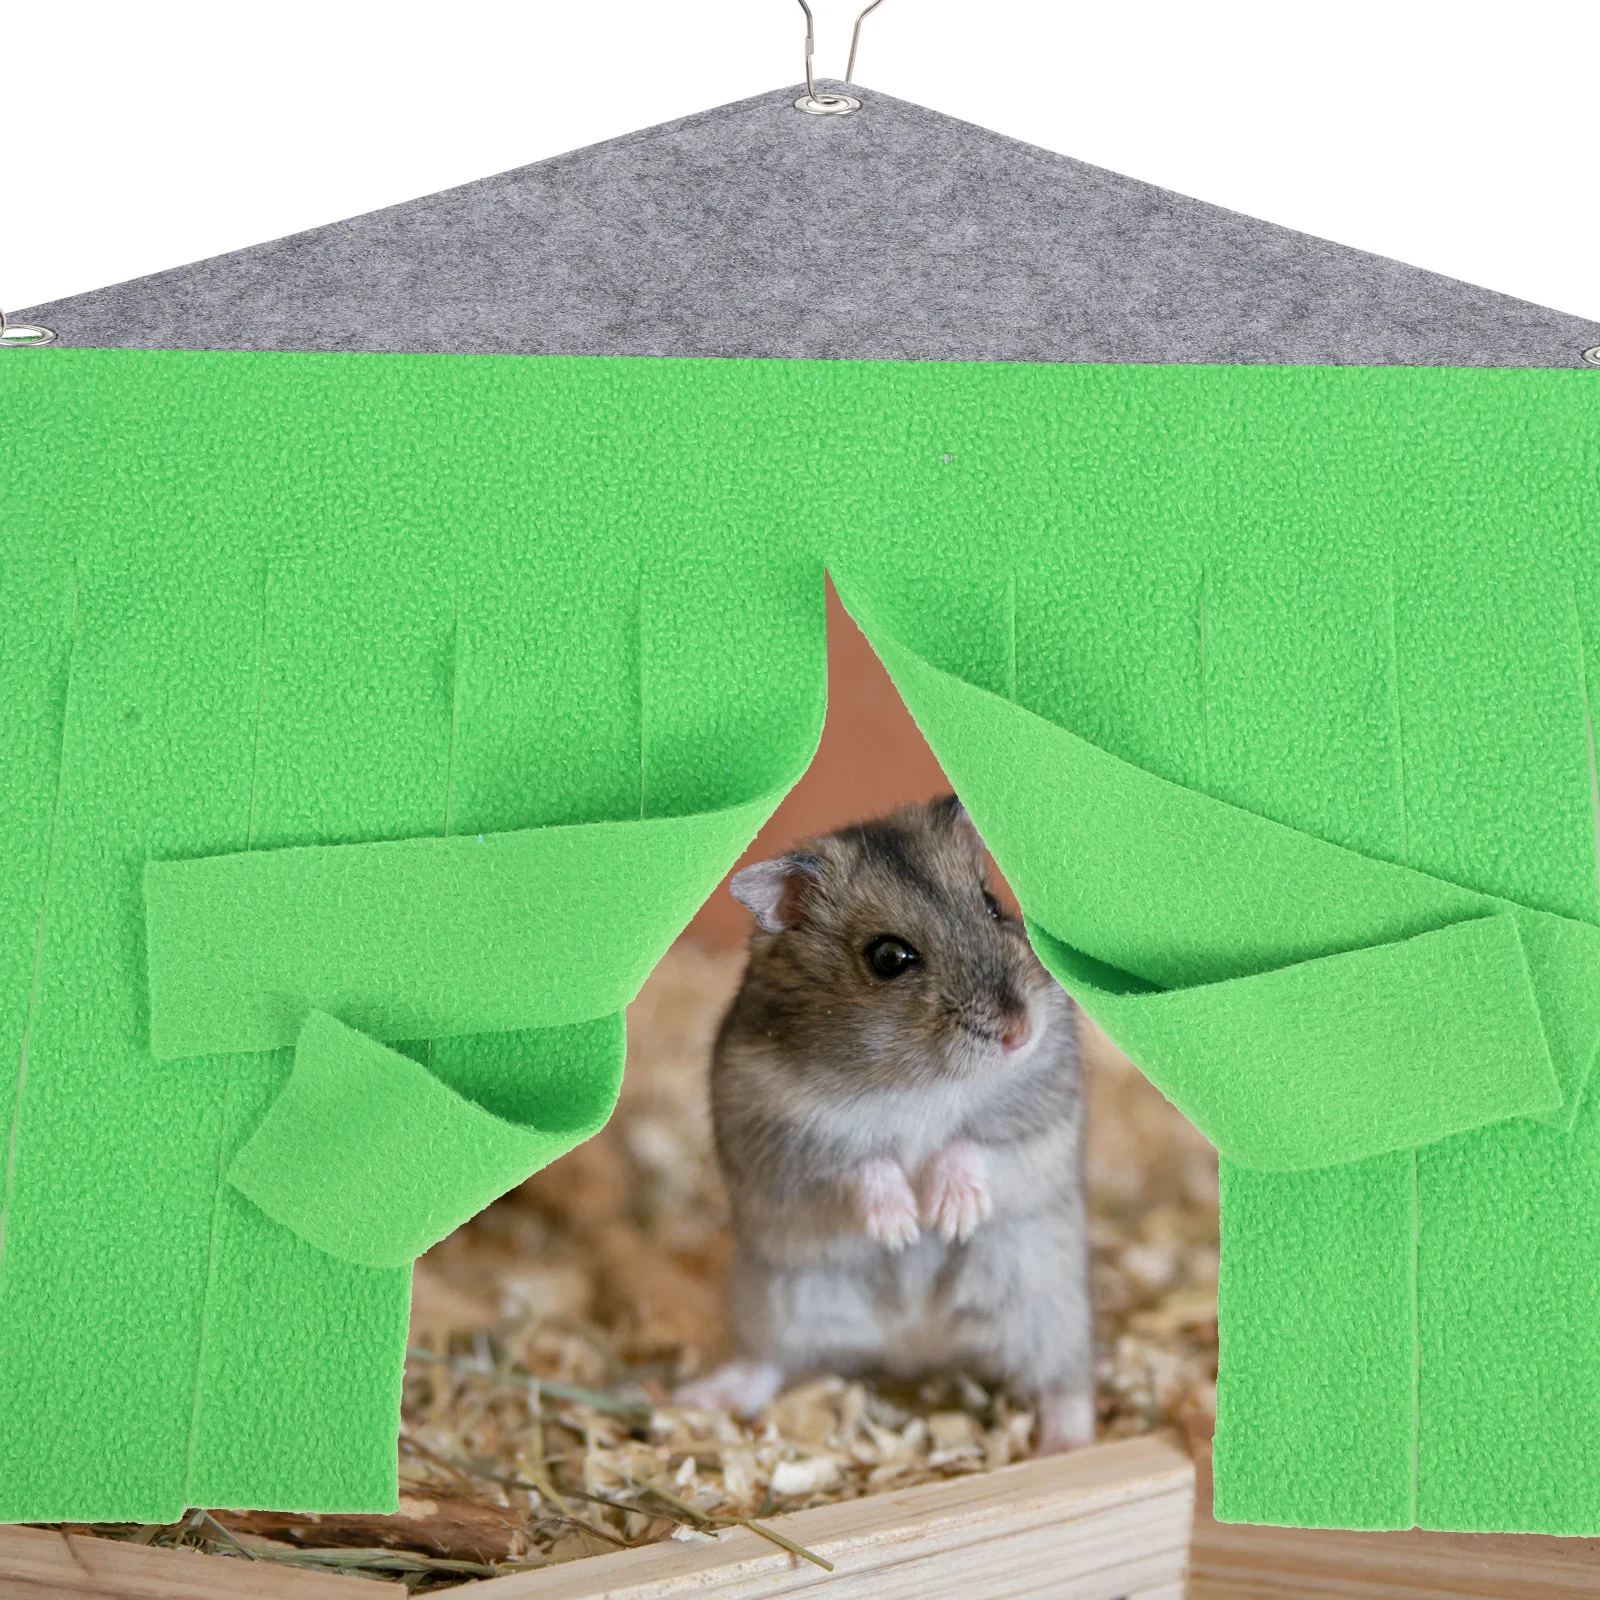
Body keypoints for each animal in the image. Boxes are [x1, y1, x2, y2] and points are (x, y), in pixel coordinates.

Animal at [674, 794, 1095, 1453]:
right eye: (890, 958)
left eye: (992, 903)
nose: (1020, 1033)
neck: (915, 1081)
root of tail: (916, 1346)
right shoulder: (784, 1140)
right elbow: (861, 1164)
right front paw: (901, 1229)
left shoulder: (1038, 1113)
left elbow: (971, 1145)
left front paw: (948, 1219)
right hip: (775, 1302)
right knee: (767, 1363)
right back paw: (695, 1399)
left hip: (1047, 1302)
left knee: (1064, 1381)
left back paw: (1068, 1446)